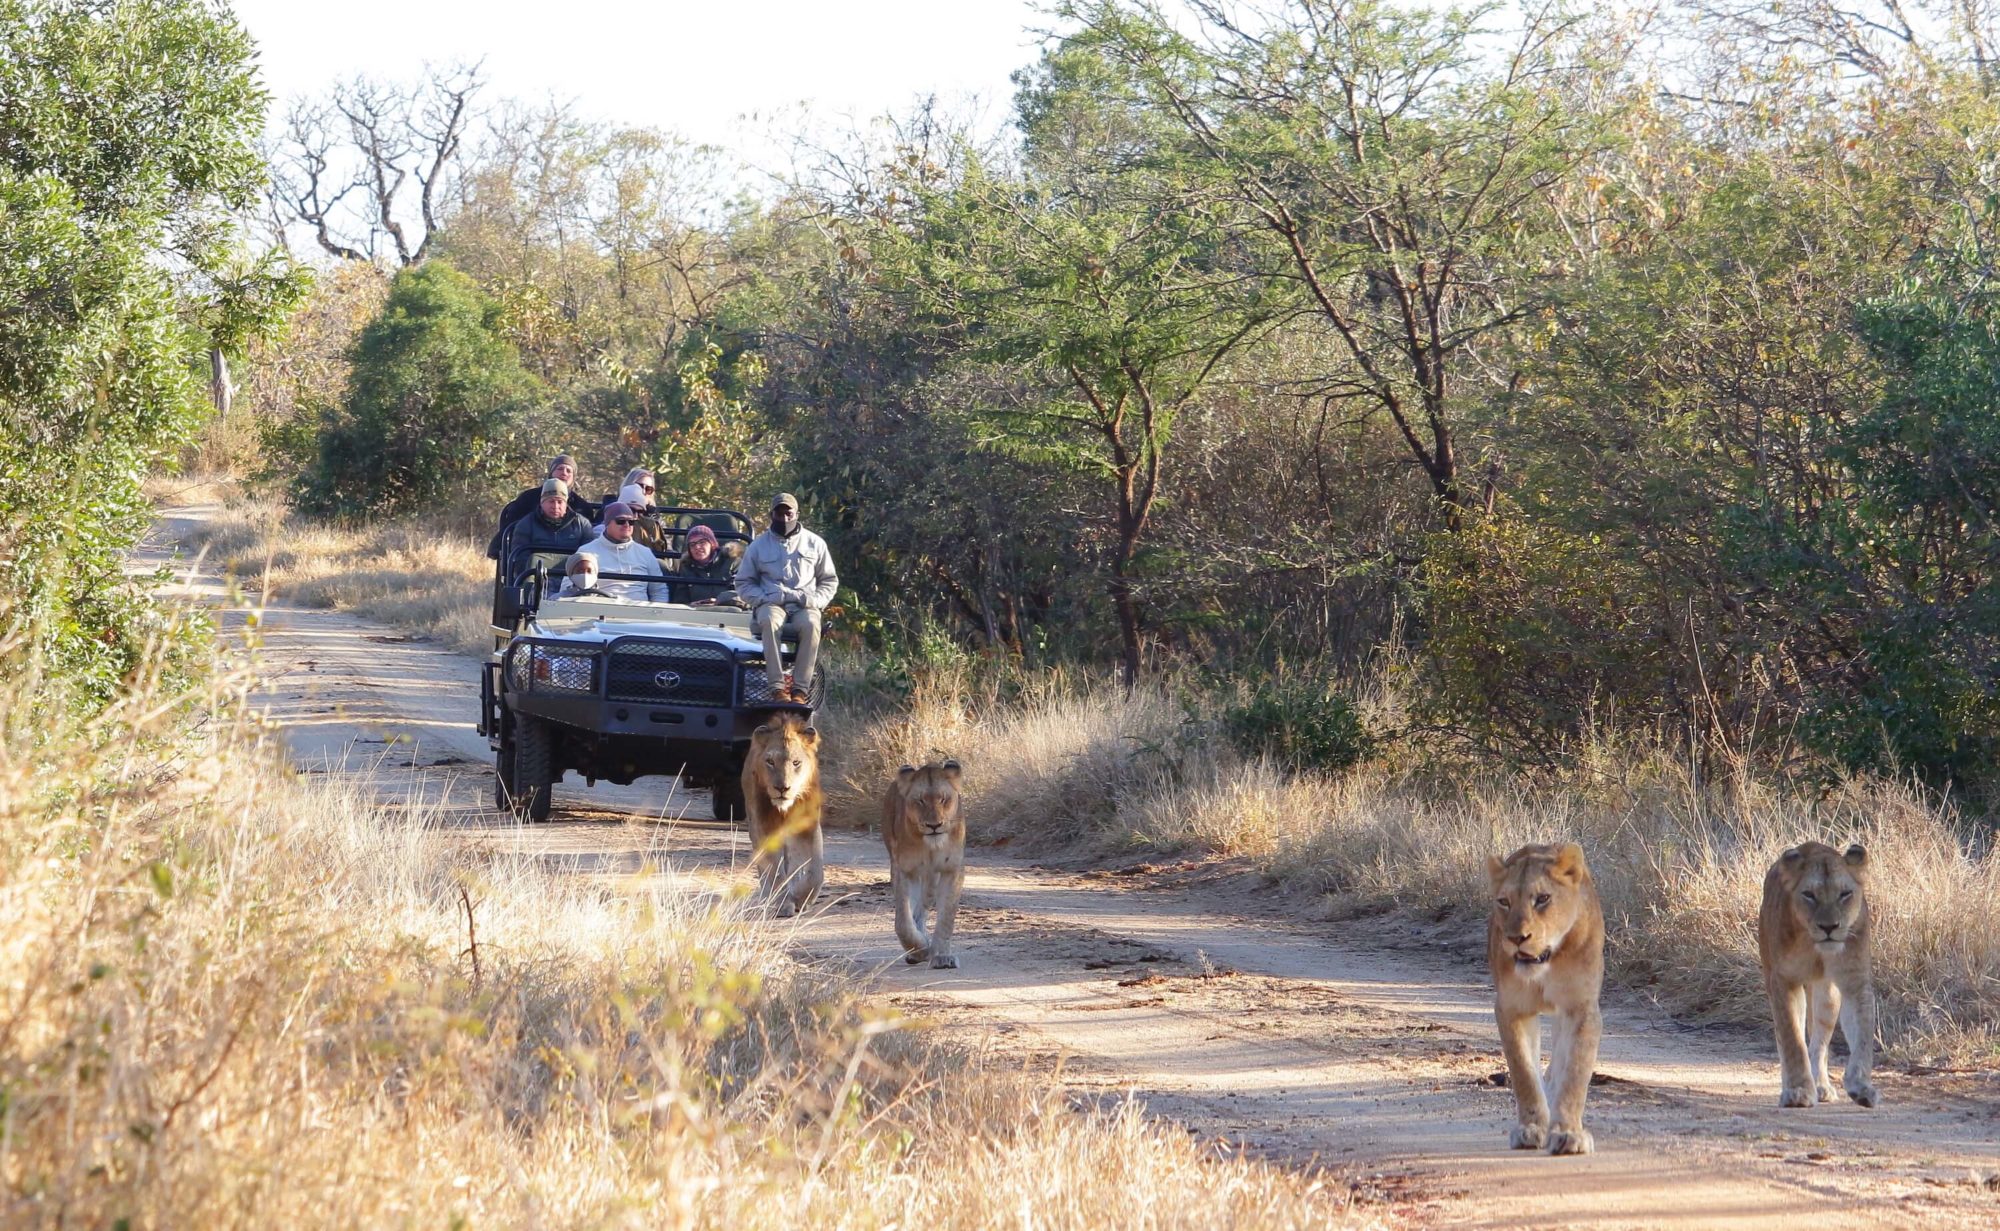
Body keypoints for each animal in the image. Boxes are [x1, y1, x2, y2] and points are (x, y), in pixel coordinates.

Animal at [743, 714, 824, 917]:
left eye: (796, 763)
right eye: (770, 762)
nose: (782, 788)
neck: (784, 809)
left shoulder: (808, 827)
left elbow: (814, 872)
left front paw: (802, 899)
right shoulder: (763, 827)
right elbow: (774, 871)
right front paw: (782, 903)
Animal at [881, 760, 966, 969]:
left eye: (943, 799)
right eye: (920, 801)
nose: (934, 825)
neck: (931, 846)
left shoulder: (952, 870)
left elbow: (946, 918)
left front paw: (942, 957)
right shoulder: (904, 870)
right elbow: (903, 922)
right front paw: (919, 949)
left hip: (931, 880)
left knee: (923, 908)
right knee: (915, 913)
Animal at [1487, 841, 1606, 1156]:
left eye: (1543, 899)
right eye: (1504, 902)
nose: (1517, 938)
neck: (1546, 962)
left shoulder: (1581, 1008)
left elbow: (1575, 1072)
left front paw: (1568, 1134)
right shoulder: (1511, 1008)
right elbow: (1524, 1072)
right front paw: (1531, 1128)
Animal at [1757, 841, 1878, 1109]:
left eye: (1845, 894)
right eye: (1809, 895)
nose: (1829, 927)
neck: (1815, 947)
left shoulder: (1855, 981)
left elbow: (1863, 1036)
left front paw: (1861, 1087)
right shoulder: (1783, 980)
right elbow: (1792, 1039)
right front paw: (1798, 1092)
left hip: (1827, 995)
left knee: (1819, 1042)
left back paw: (1822, 1086)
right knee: (1792, 1037)